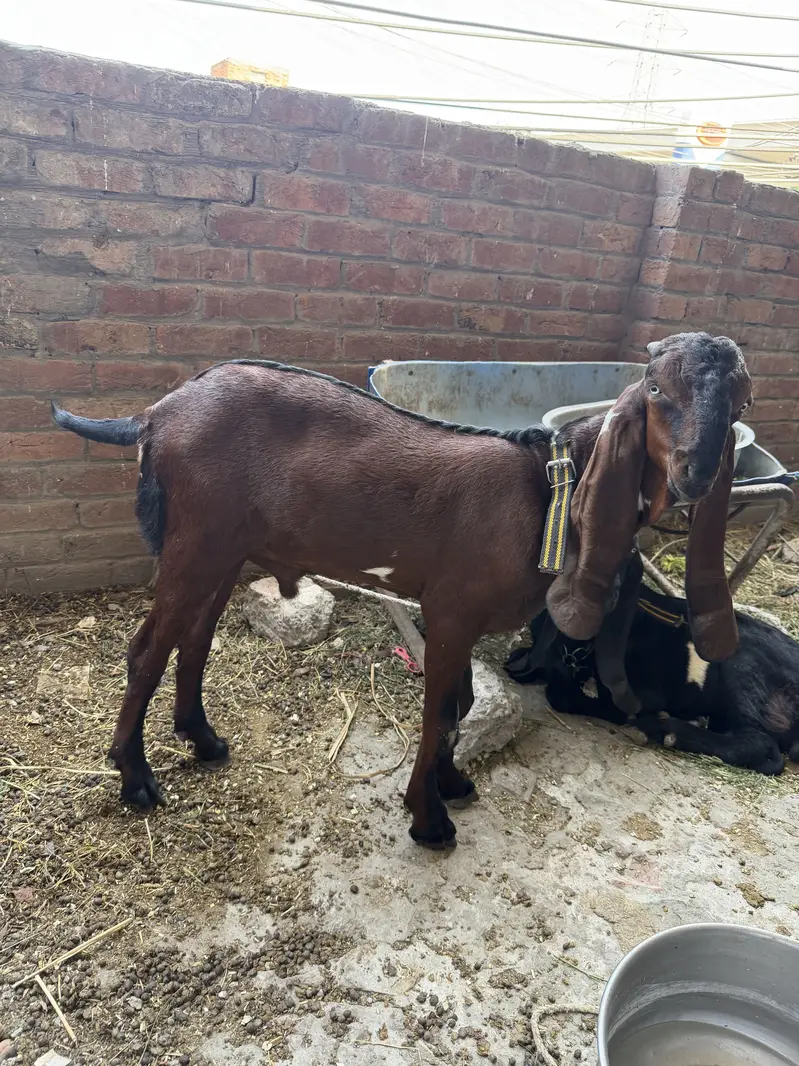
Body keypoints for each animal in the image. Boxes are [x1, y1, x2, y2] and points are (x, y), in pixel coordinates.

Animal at [51, 332, 752, 849]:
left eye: (740, 403)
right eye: (656, 387)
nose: (696, 470)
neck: (550, 488)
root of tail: (154, 415)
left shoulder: (464, 619)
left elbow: (462, 704)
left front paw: (454, 784)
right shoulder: (450, 610)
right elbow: (440, 709)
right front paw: (429, 819)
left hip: (224, 550)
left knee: (194, 639)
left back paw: (204, 740)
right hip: (194, 543)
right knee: (146, 650)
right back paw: (136, 781)